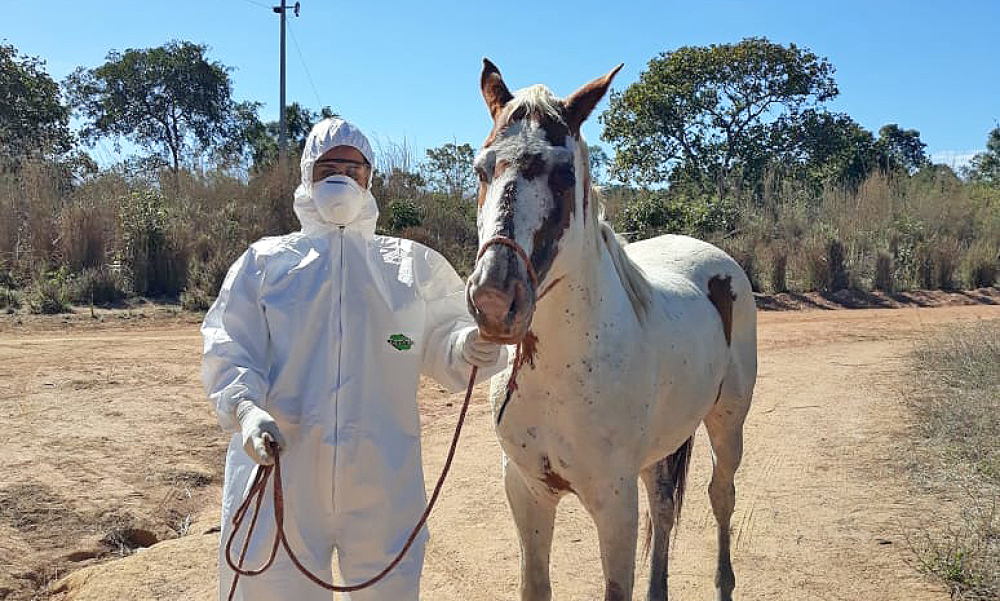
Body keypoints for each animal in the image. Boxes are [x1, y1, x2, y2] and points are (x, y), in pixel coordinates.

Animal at [466, 59, 756, 600]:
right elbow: (536, 585)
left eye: (564, 173)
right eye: (481, 168)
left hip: (728, 426)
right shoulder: (526, 491)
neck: (558, 376)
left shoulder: (614, 504)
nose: (494, 300)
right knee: (664, 508)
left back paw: (724, 583)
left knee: (720, 496)